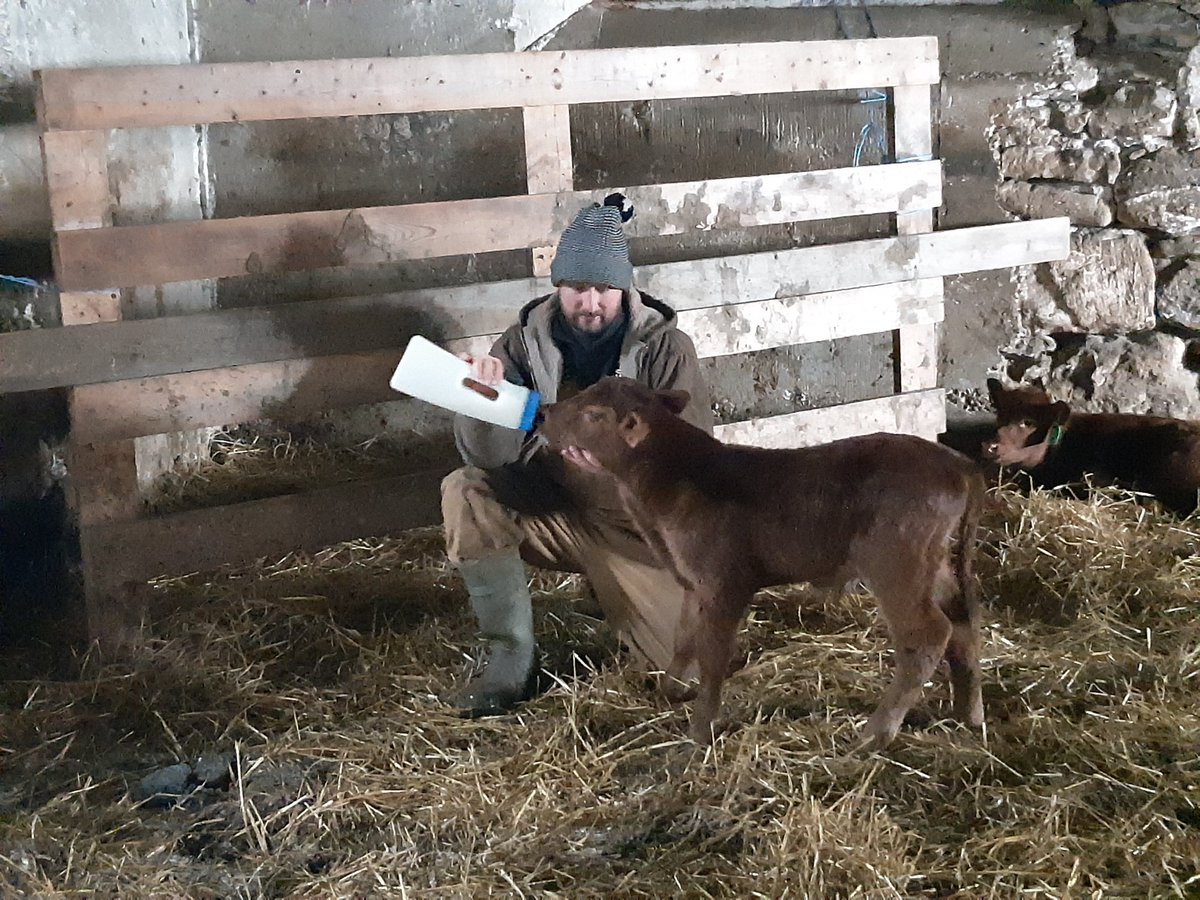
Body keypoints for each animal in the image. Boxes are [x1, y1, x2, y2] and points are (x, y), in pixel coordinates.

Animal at [538, 376, 987, 749]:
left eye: (594, 415)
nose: (543, 413)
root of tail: (959, 466)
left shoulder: (724, 581)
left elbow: (713, 654)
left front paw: (700, 729)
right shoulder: (693, 581)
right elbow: (684, 636)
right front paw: (671, 690)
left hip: (897, 562)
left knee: (927, 635)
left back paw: (876, 732)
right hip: (939, 564)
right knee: (964, 624)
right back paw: (968, 715)